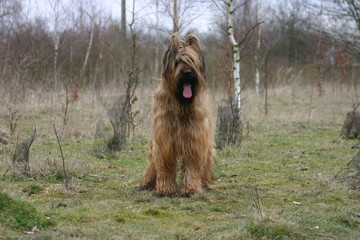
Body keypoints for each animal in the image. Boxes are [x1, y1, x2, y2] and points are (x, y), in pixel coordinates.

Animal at [140, 32, 214, 197]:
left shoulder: (195, 141)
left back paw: (205, 183)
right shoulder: (164, 142)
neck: (181, 105)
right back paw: (147, 183)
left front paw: (190, 188)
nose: (188, 73)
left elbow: (192, 167)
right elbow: (165, 166)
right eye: (178, 62)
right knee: (152, 164)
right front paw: (164, 189)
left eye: (192, 61)